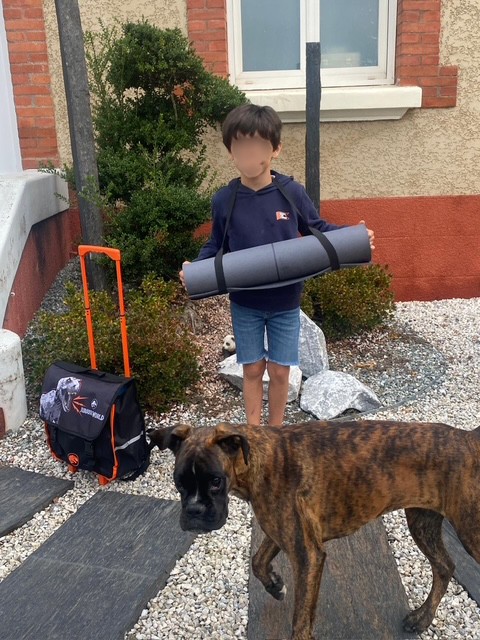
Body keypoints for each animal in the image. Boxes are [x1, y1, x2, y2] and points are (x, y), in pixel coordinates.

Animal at [148, 420, 480, 640]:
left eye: (216, 481)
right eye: (179, 482)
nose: (194, 512)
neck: (259, 460)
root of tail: (468, 439)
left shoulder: (307, 555)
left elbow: (300, 620)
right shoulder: (283, 532)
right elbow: (257, 561)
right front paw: (274, 585)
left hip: (469, 532)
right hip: (422, 522)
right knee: (445, 567)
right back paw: (422, 619)